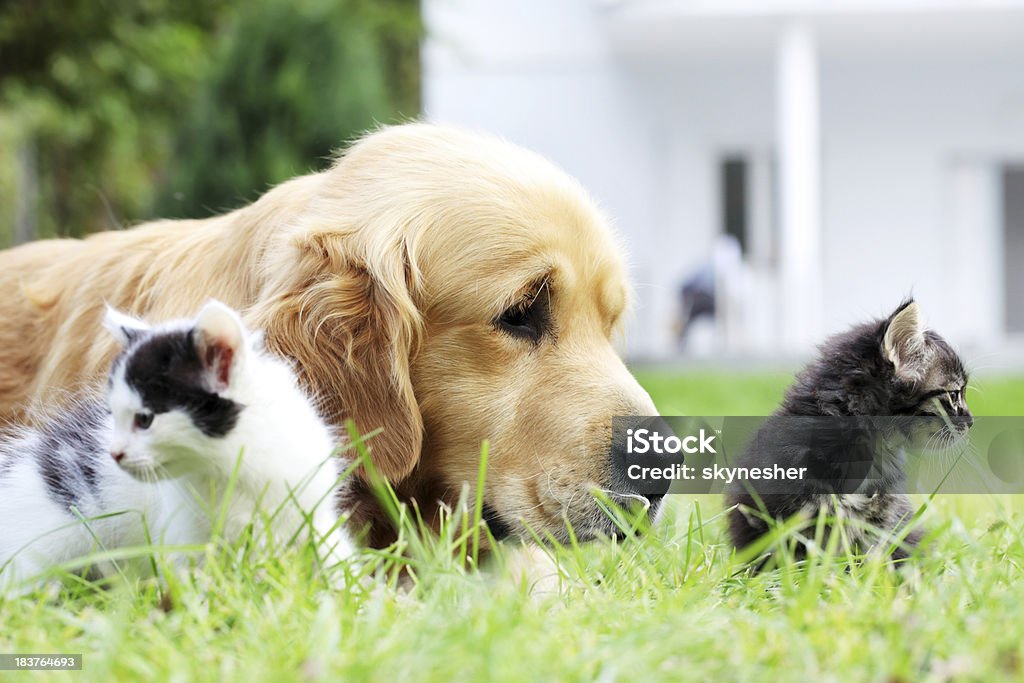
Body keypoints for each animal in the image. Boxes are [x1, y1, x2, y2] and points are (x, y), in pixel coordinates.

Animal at [0, 299, 354, 593]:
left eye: (144, 419)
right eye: (113, 414)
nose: (114, 454)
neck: (233, 462)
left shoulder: (312, 510)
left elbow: (334, 555)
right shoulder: (185, 536)